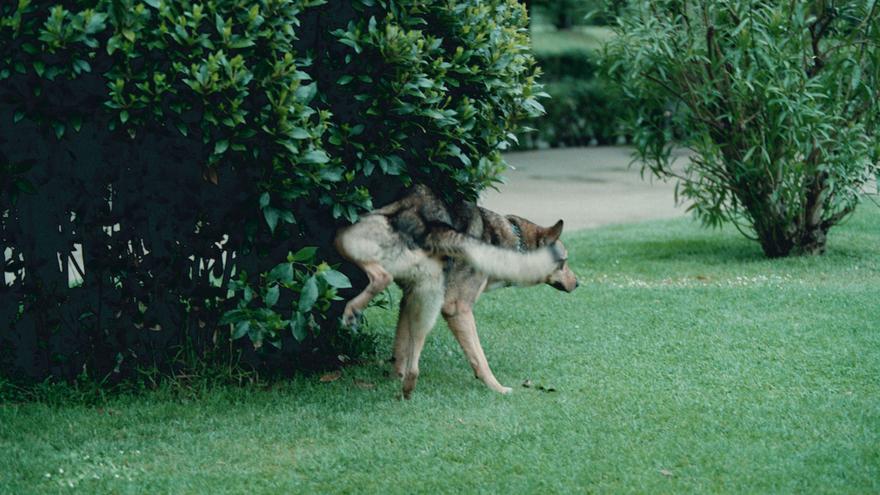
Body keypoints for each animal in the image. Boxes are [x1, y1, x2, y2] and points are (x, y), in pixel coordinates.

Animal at [332, 186, 576, 400]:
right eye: (564, 262)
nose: (578, 283)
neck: (513, 243)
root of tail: (427, 223)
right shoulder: (458, 309)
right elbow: (479, 357)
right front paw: (495, 387)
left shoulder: (407, 299)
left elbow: (401, 348)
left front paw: (395, 377)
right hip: (348, 238)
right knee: (381, 278)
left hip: (413, 290)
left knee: (385, 283)